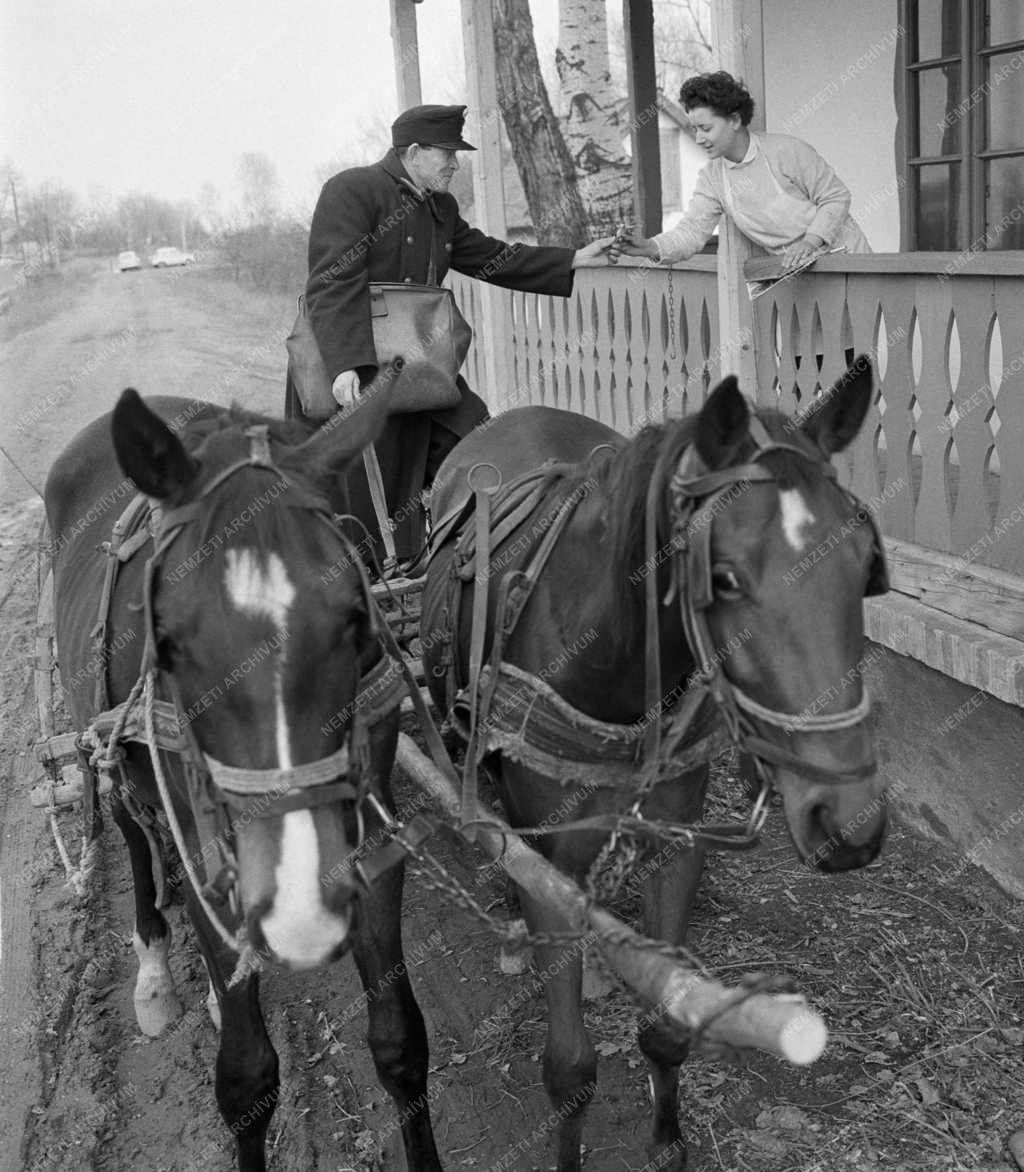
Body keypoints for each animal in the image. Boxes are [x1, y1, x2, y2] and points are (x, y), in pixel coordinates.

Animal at [43, 389, 438, 1172]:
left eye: (356, 616)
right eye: (166, 640)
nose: (300, 913)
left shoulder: (370, 826)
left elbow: (400, 1042)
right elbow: (247, 1077)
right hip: (105, 746)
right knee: (133, 830)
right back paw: (156, 964)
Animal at [421, 358, 885, 1172]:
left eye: (864, 564)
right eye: (721, 578)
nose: (850, 823)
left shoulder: (677, 843)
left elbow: (668, 1028)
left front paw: (667, 1139)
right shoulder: (553, 870)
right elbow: (570, 1069)